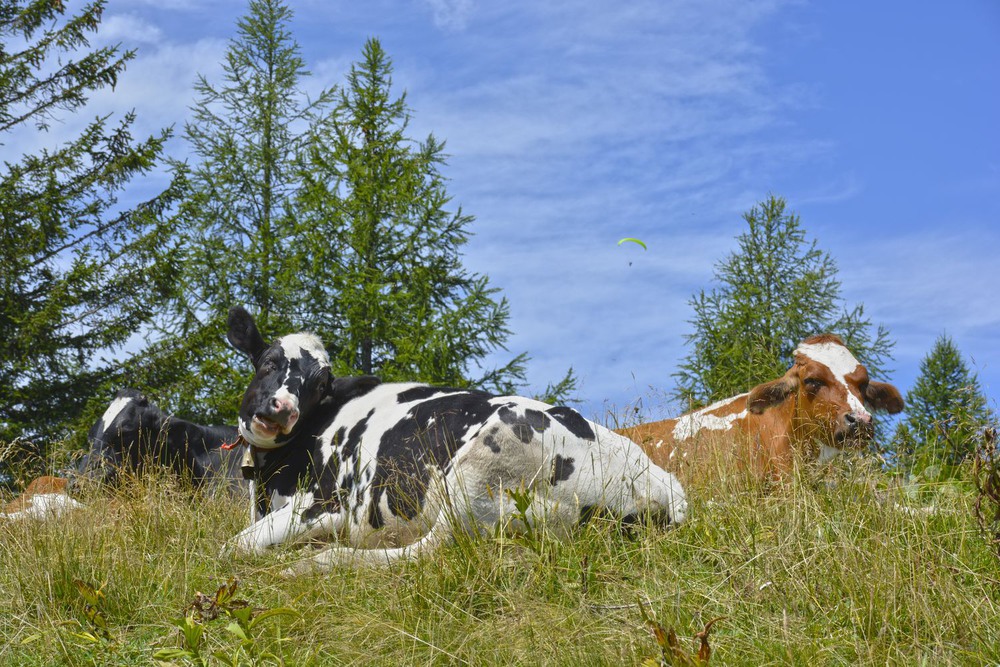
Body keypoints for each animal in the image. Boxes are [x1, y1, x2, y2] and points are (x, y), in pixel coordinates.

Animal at [223, 306, 688, 572]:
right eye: (267, 362)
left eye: (319, 385)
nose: (281, 409)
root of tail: (662, 483)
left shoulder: (329, 504)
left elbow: (235, 546)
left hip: (482, 468)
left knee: (429, 550)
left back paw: (316, 563)